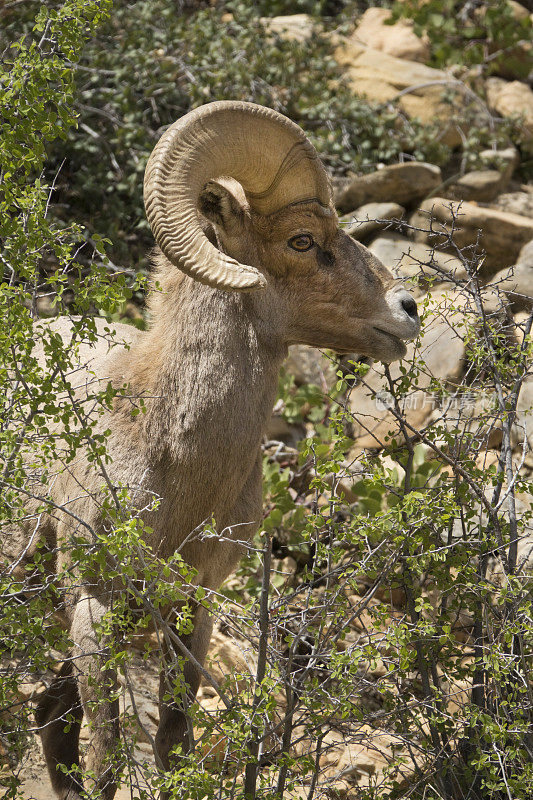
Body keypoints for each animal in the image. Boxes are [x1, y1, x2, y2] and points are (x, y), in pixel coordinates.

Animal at [21, 101, 420, 800]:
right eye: (301, 241)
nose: (408, 309)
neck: (178, 469)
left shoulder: (196, 603)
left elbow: (173, 738)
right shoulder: (94, 607)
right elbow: (106, 755)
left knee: (52, 718)